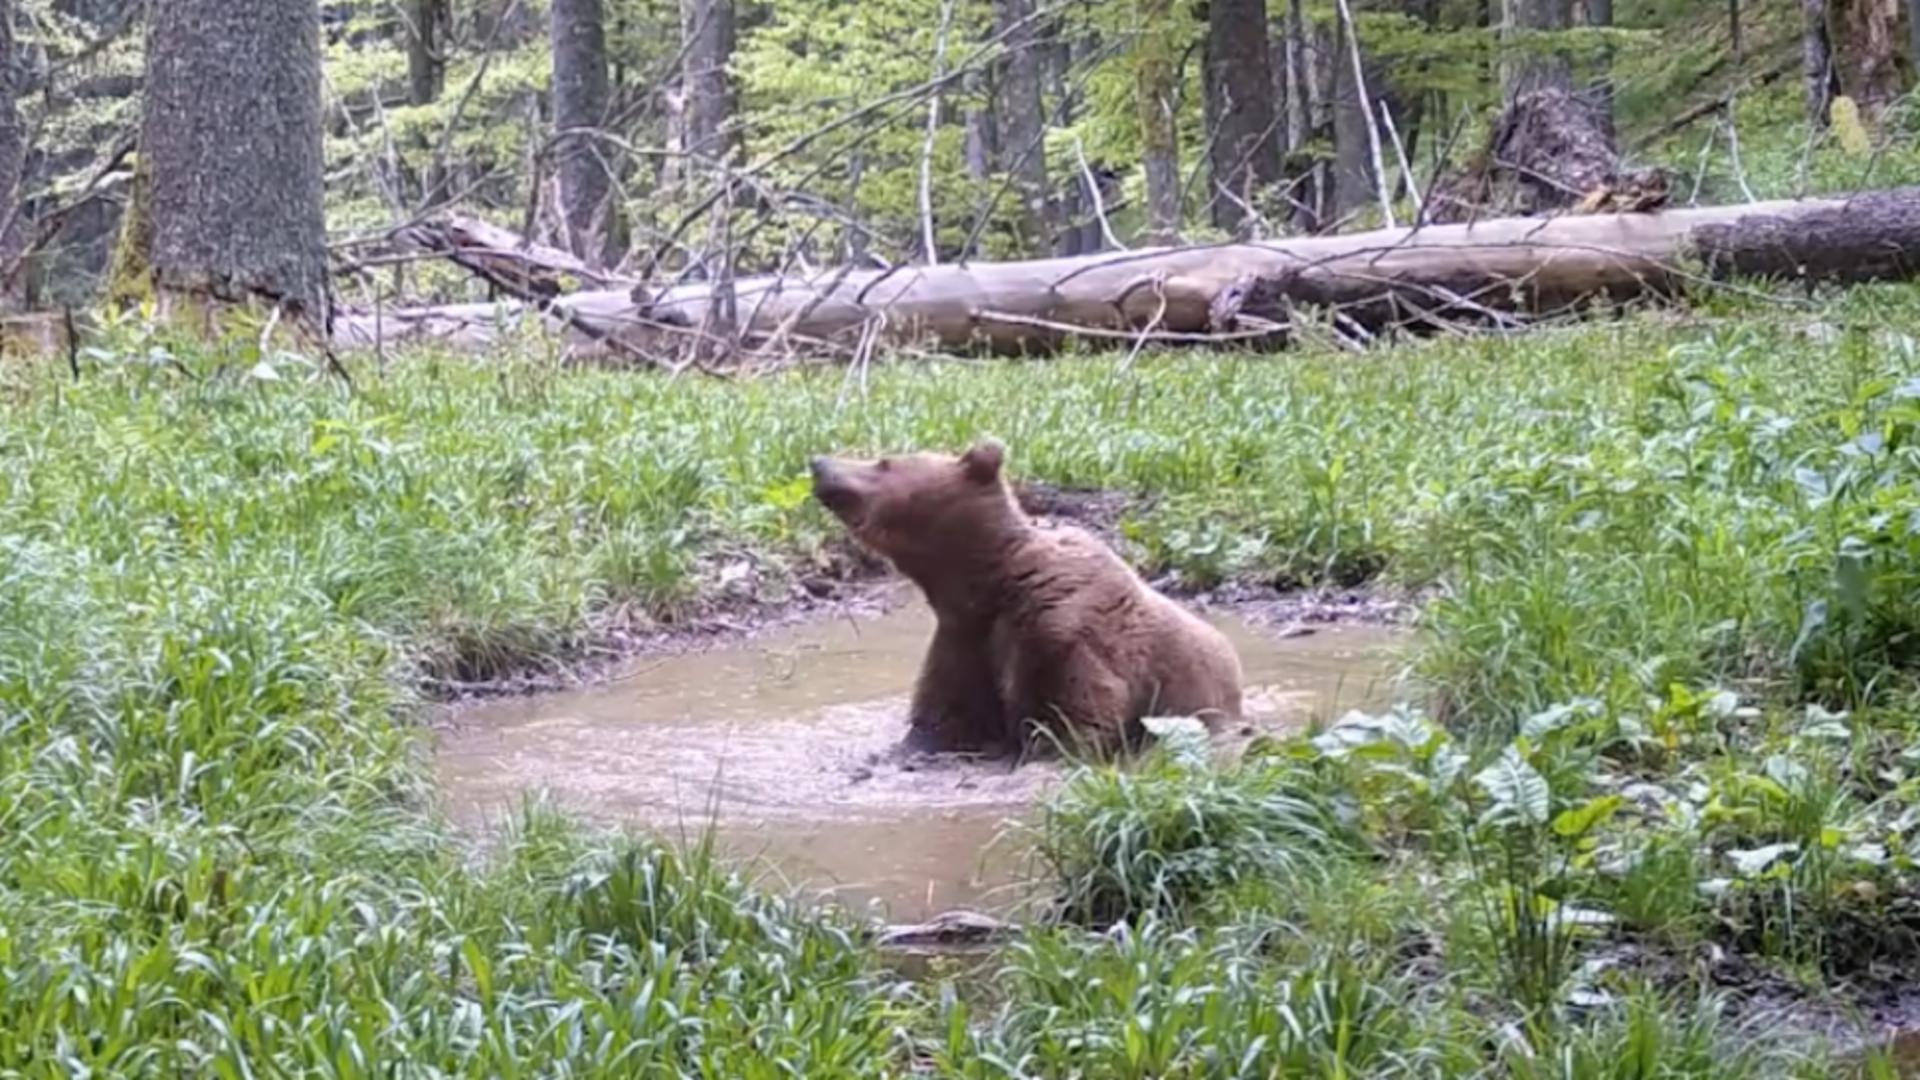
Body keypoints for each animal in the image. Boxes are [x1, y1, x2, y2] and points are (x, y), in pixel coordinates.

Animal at [810, 438, 1244, 757]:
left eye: (884, 461)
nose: (818, 461)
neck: (992, 582)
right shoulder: (963, 640)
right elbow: (943, 716)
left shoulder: (1062, 631)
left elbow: (1082, 709)